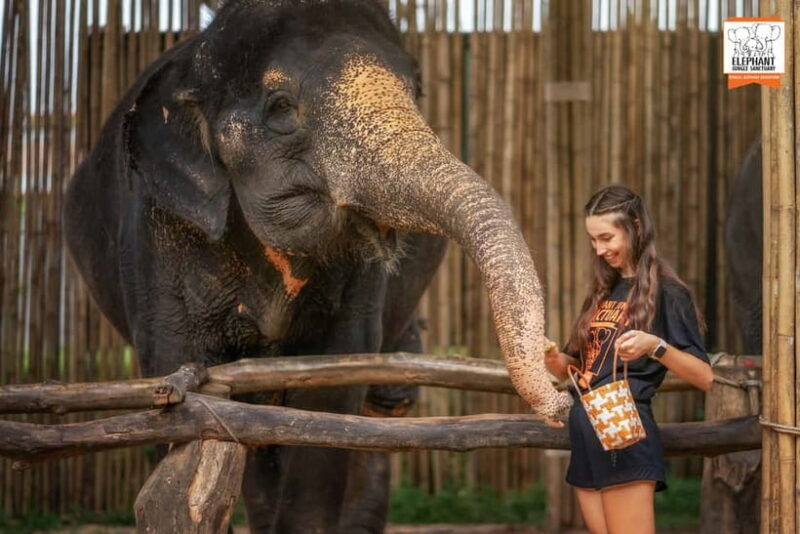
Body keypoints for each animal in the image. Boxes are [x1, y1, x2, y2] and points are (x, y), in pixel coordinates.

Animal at [63, 1, 570, 532]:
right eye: (282, 108)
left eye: (416, 91)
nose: (560, 397)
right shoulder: (154, 237)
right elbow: (176, 378)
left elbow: (333, 386)